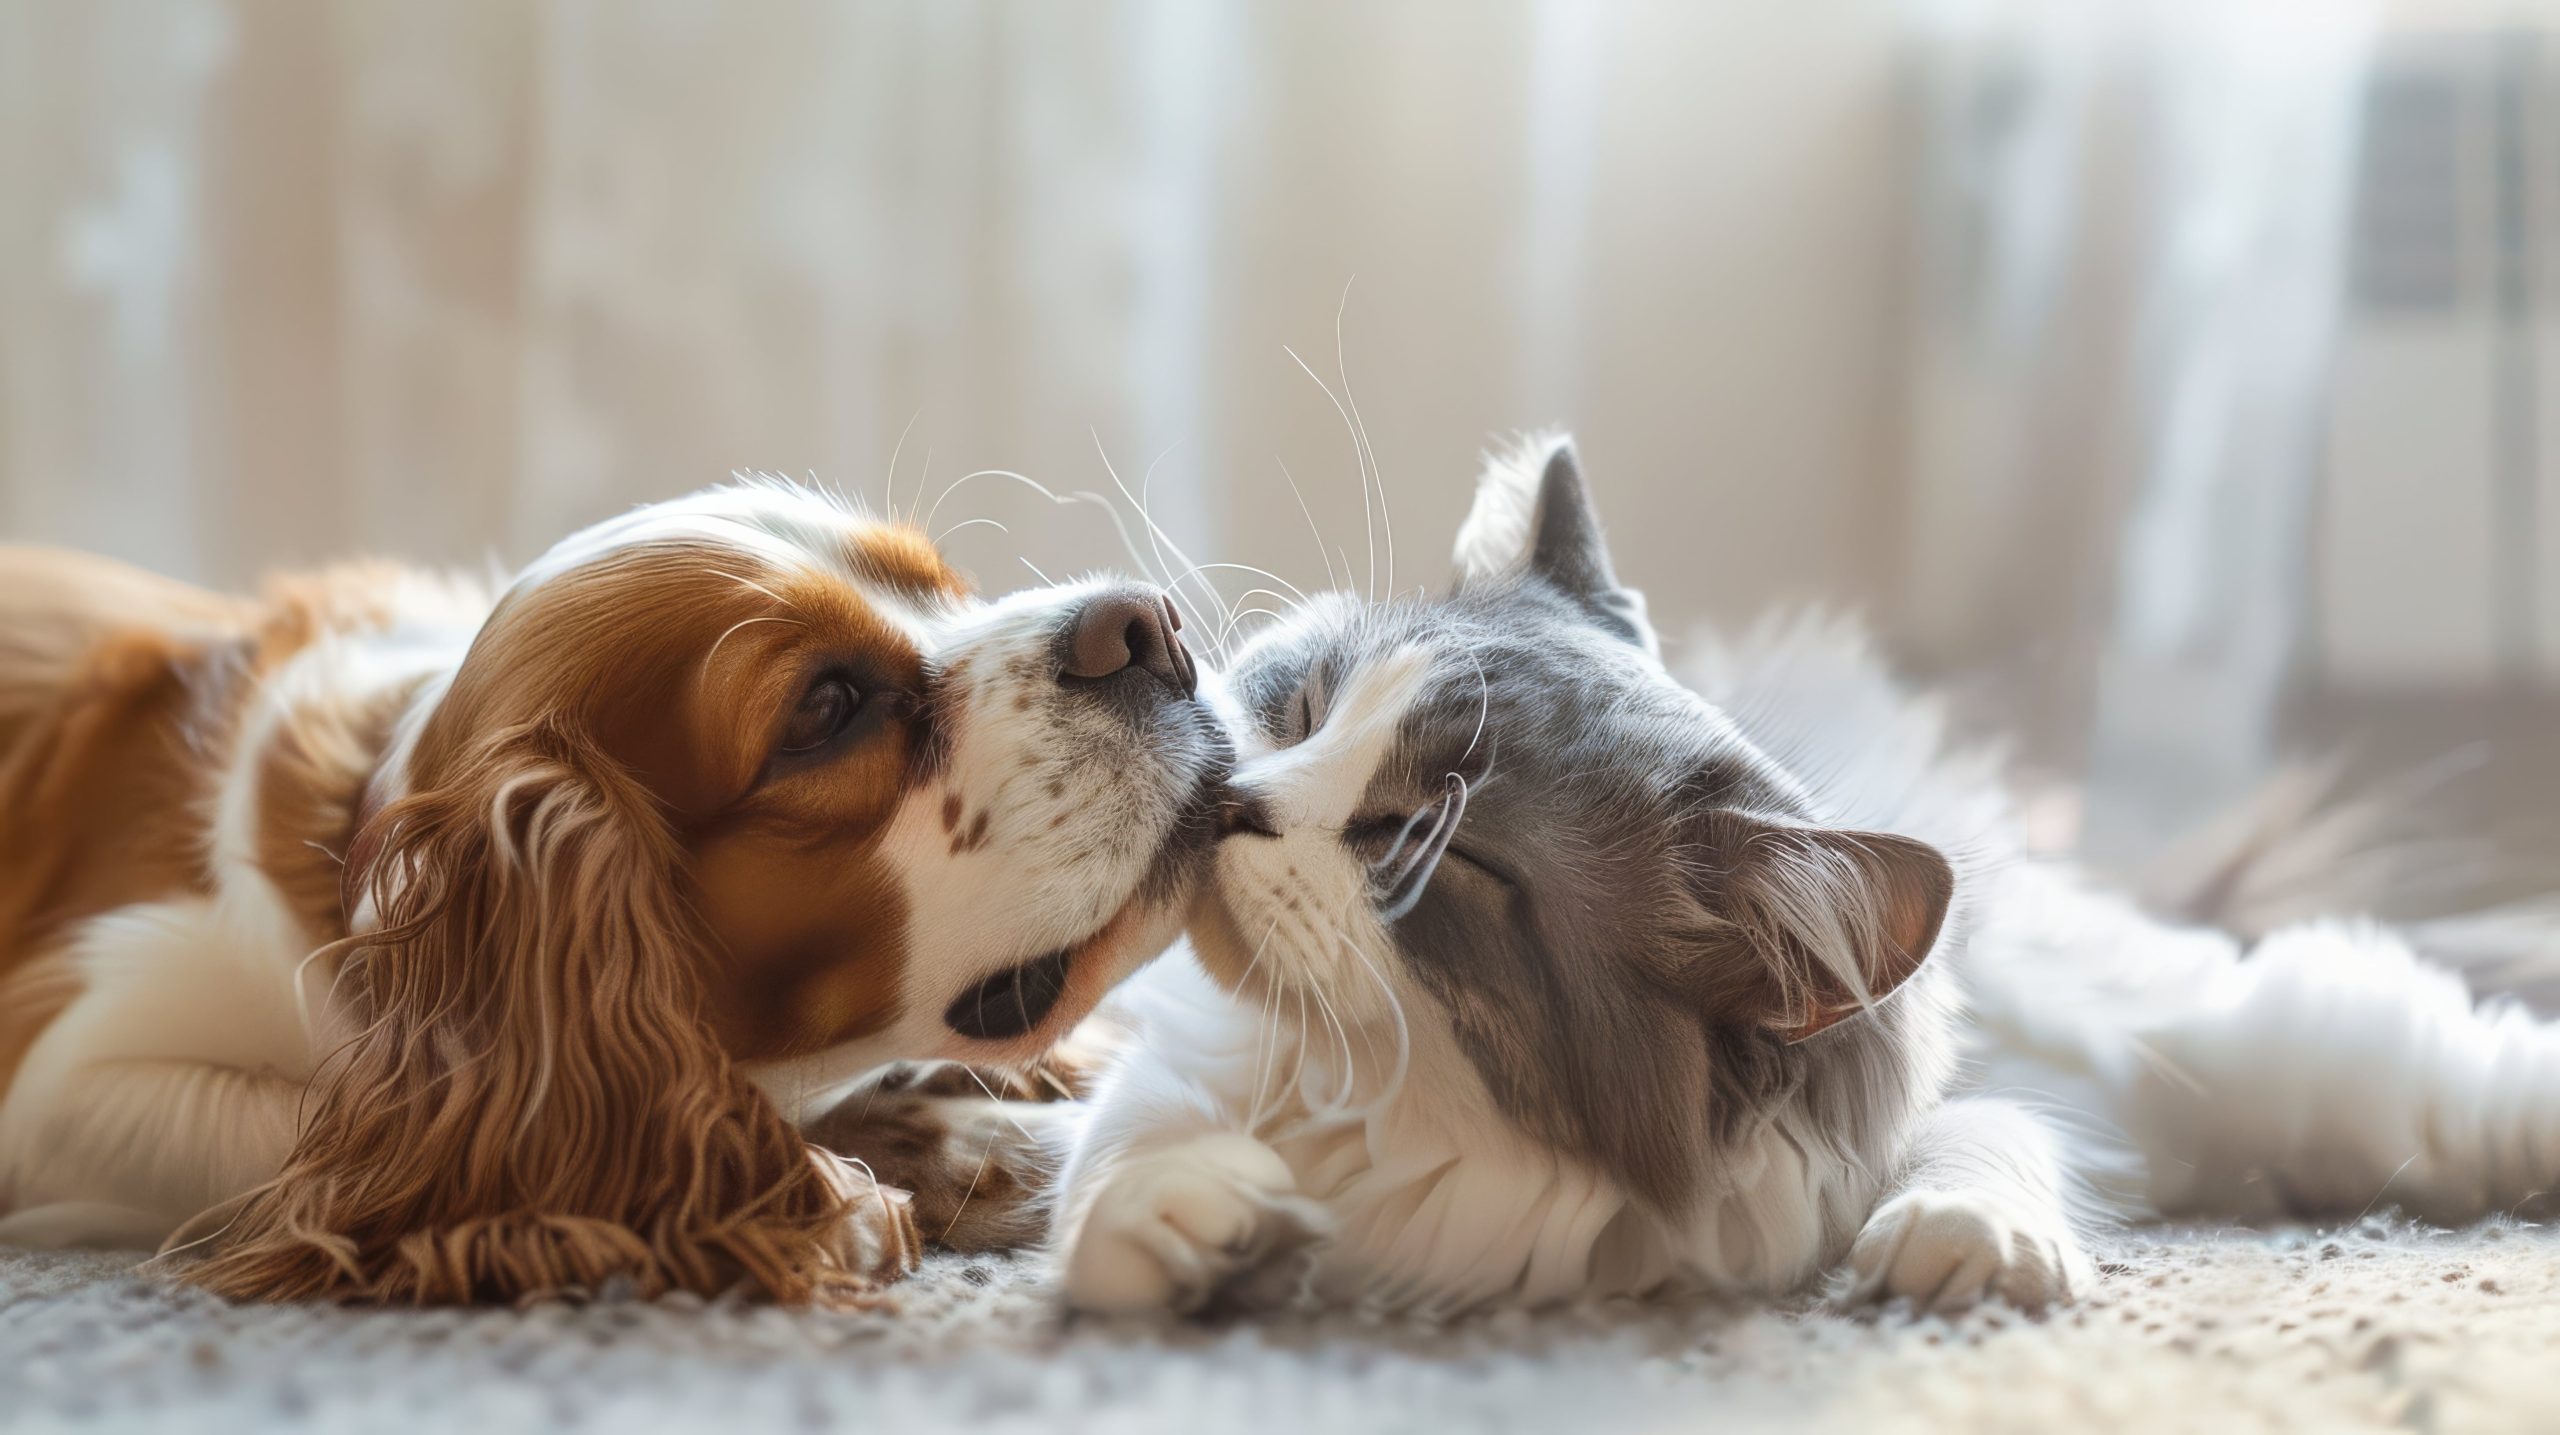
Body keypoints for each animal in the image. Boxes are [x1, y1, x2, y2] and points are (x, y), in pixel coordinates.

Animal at [0, 480, 1228, 1299]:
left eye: (951, 592)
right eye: (824, 707)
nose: (1145, 622)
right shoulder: (67, 1078)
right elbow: (286, 1137)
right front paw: (835, 1190)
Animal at [1049, 434, 2560, 1309]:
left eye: (1425, 844)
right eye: (1304, 708)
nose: (1236, 803)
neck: (1376, 1120)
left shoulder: (1955, 1095)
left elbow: (1976, 1143)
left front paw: (1963, 1245)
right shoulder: (1165, 1074)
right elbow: (1111, 1181)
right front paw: (1201, 1222)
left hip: (2287, 1048)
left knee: (2458, 1071)